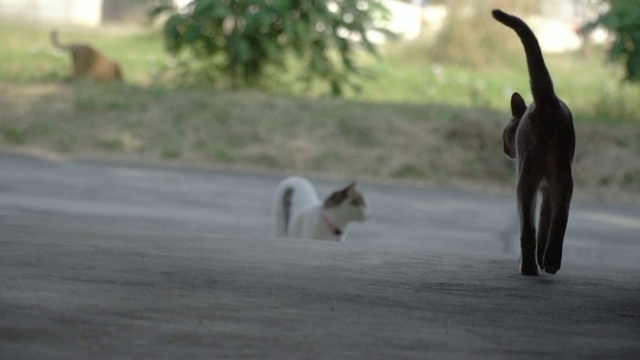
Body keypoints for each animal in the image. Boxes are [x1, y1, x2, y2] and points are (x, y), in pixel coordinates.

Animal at [492, 9, 576, 276]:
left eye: (504, 134)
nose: (504, 148)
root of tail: (547, 100)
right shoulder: (547, 189)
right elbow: (544, 223)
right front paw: (543, 258)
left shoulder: (536, 185)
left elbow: (533, 226)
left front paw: (533, 261)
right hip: (563, 178)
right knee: (560, 218)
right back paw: (550, 262)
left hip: (525, 179)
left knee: (526, 229)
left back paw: (528, 268)